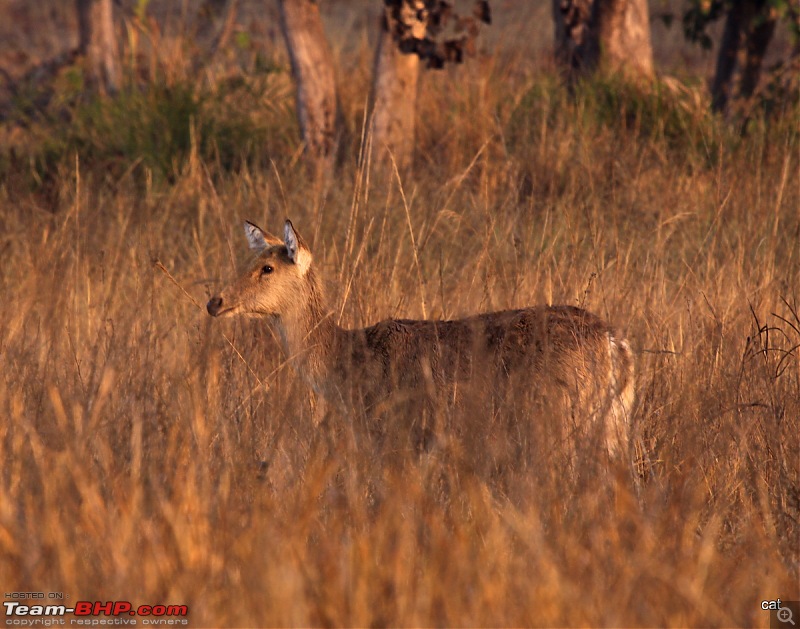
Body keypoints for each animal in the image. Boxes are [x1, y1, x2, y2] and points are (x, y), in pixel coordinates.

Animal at [209, 220, 636, 456]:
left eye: (267, 268)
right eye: (246, 261)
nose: (215, 301)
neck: (348, 365)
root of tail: (615, 343)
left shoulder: (395, 433)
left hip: (561, 417)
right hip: (612, 423)